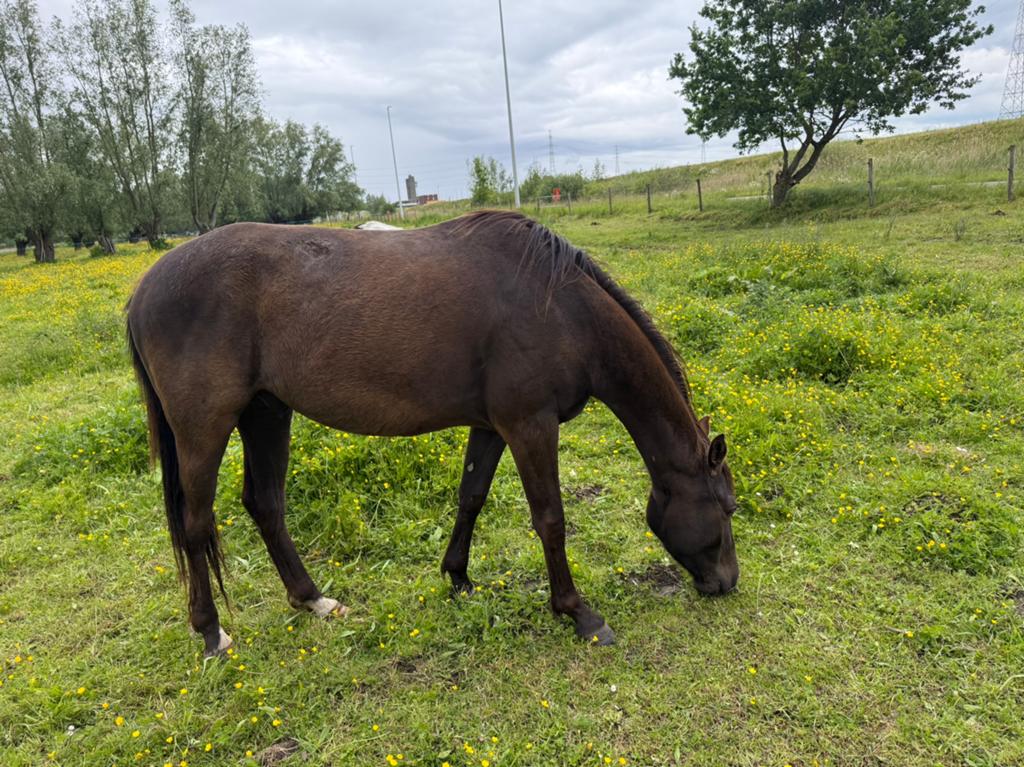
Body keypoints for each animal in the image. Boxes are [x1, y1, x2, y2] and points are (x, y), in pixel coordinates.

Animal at [126, 211, 738, 657]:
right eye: (728, 508)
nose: (727, 582)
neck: (561, 308)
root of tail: (144, 287)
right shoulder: (530, 426)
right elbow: (551, 520)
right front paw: (578, 612)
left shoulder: (493, 427)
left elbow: (472, 497)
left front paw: (458, 577)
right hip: (205, 427)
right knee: (196, 522)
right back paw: (210, 631)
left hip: (267, 413)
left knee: (265, 504)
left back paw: (313, 600)